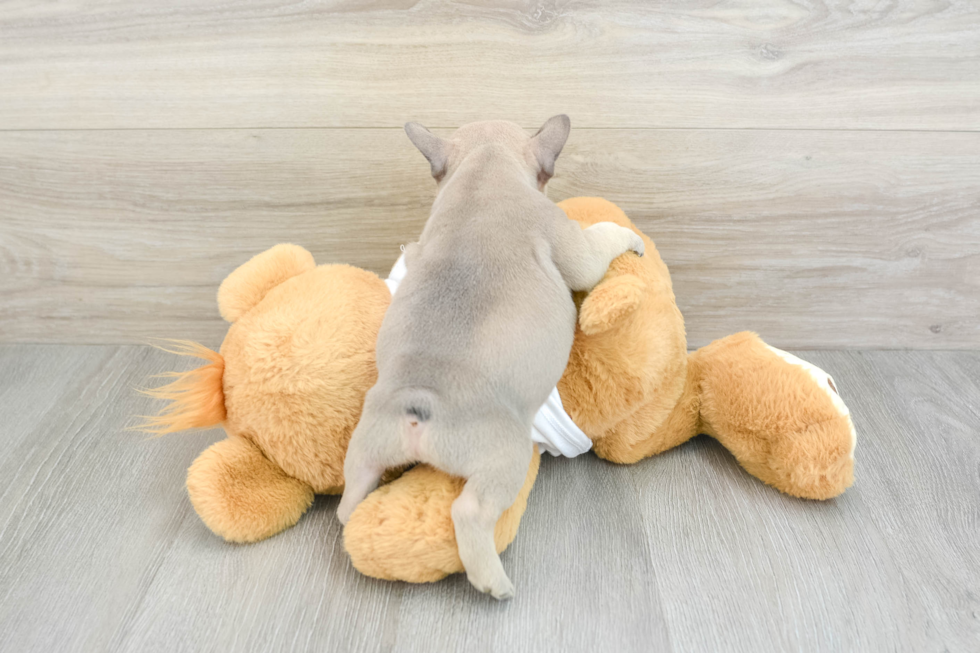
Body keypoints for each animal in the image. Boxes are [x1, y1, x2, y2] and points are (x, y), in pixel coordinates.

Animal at [336, 116, 644, 596]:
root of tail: (418, 407)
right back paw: (493, 582)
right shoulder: (568, 241)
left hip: (368, 444)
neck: (485, 167)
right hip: (504, 455)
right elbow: (596, 251)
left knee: (350, 496)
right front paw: (630, 236)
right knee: (472, 511)